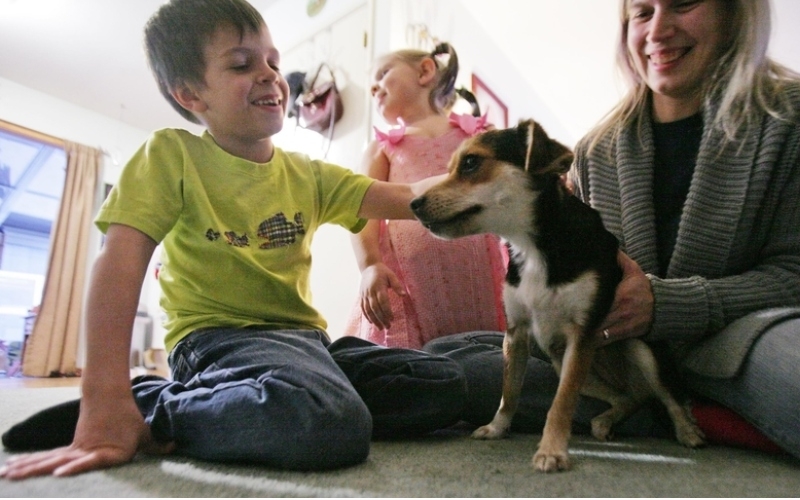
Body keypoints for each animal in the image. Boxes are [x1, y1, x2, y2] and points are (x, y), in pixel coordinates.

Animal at [410, 120, 704, 472]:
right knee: (629, 397)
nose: (413, 204)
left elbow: (561, 402)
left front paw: (551, 451)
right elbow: (509, 389)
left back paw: (687, 431)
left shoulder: (581, 335)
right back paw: (604, 422)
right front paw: (497, 427)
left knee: (667, 396)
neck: (532, 246)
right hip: (562, 361)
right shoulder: (517, 332)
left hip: (637, 350)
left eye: (471, 163)